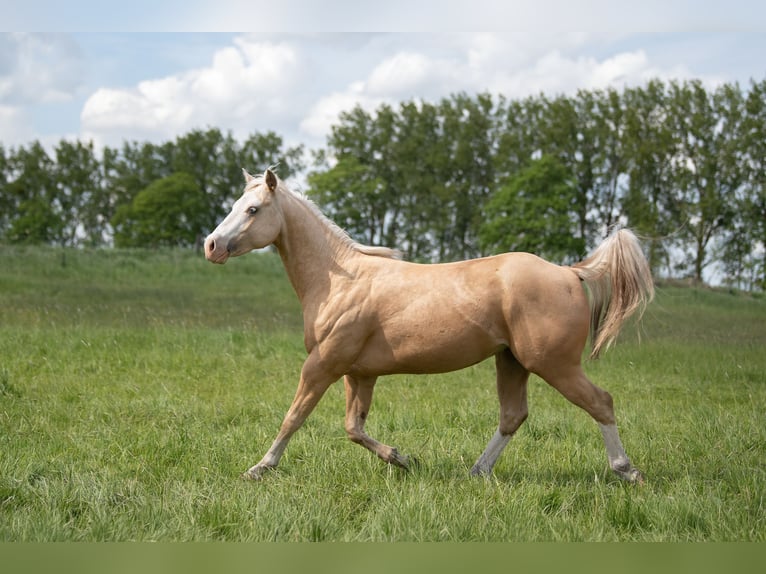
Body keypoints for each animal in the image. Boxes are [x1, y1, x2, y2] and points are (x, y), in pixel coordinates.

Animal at [204, 168, 654, 483]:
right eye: (233, 207)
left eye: (252, 210)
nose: (211, 246)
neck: (339, 279)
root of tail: (571, 272)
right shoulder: (359, 373)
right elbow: (353, 427)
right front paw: (401, 458)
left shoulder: (323, 364)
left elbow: (294, 416)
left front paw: (259, 468)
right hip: (512, 362)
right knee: (513, 416)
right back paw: (476, 471)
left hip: (554, 364)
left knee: (601, 403)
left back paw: (627, 470)